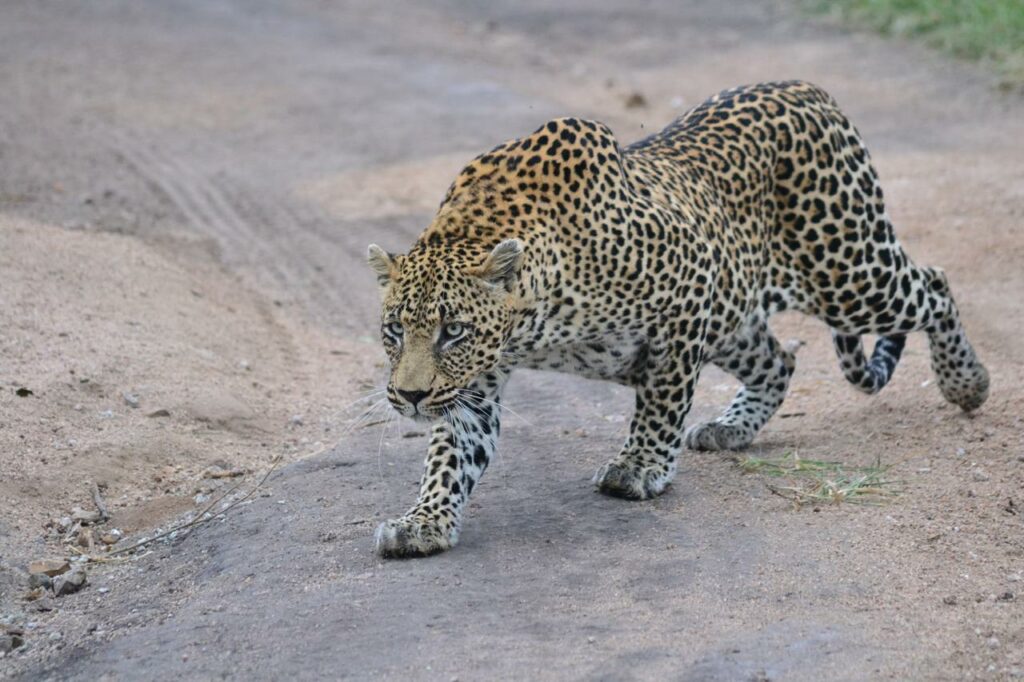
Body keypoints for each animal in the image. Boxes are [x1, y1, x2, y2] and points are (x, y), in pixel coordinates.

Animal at [365, 81, 989, 558]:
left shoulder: (687, 294)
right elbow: (451, 454)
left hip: (847, 272)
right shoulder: (477, 382)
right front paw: (424, 521)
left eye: (453, 332)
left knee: (933, 283)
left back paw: (968, 382)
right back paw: (731, 427)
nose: (409, 397)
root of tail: (810, 91)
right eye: (395, 330)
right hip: (740, 316)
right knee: (780, 360)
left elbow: (662, 398)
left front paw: (639, 465)